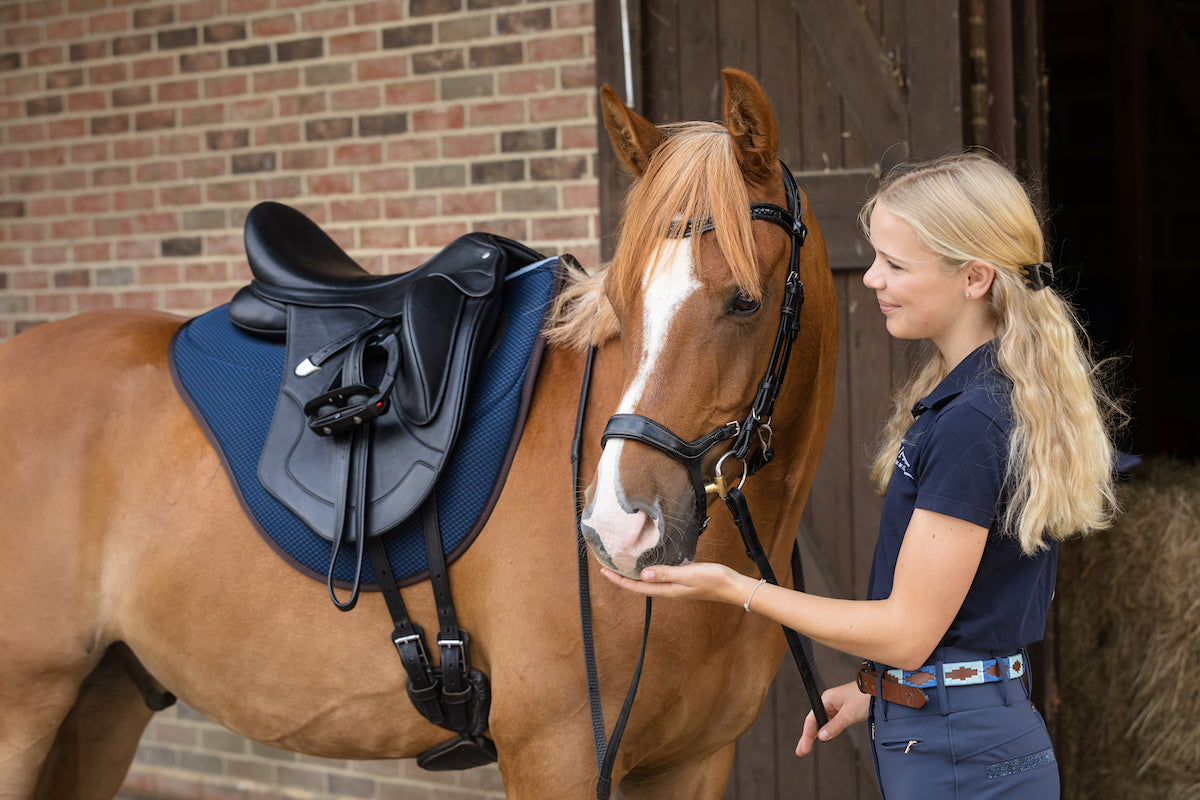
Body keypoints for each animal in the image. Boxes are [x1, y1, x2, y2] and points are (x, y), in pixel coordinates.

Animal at [0, 68, 837, 799]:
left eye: (745, 300)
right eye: (624, 303)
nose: (617, 527)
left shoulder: (693, 763)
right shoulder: (560, 753)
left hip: (101, 703)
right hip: (26, 710)